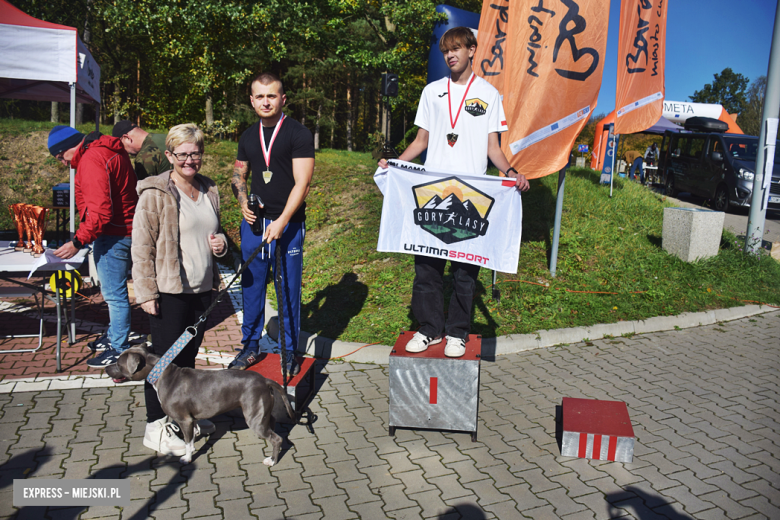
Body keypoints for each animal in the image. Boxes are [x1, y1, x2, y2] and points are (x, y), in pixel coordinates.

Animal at [105, 346, 294, 464]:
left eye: (119, 363)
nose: (106, 368)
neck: (161, 374)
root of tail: (265, 380)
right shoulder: (191, 419)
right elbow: (191, 437)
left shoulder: (184, 420)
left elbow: (187, 443)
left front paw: (187, 458)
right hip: (261, 413)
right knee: (272, 423)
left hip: (254, 417)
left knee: (277, 439)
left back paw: (272, 461)